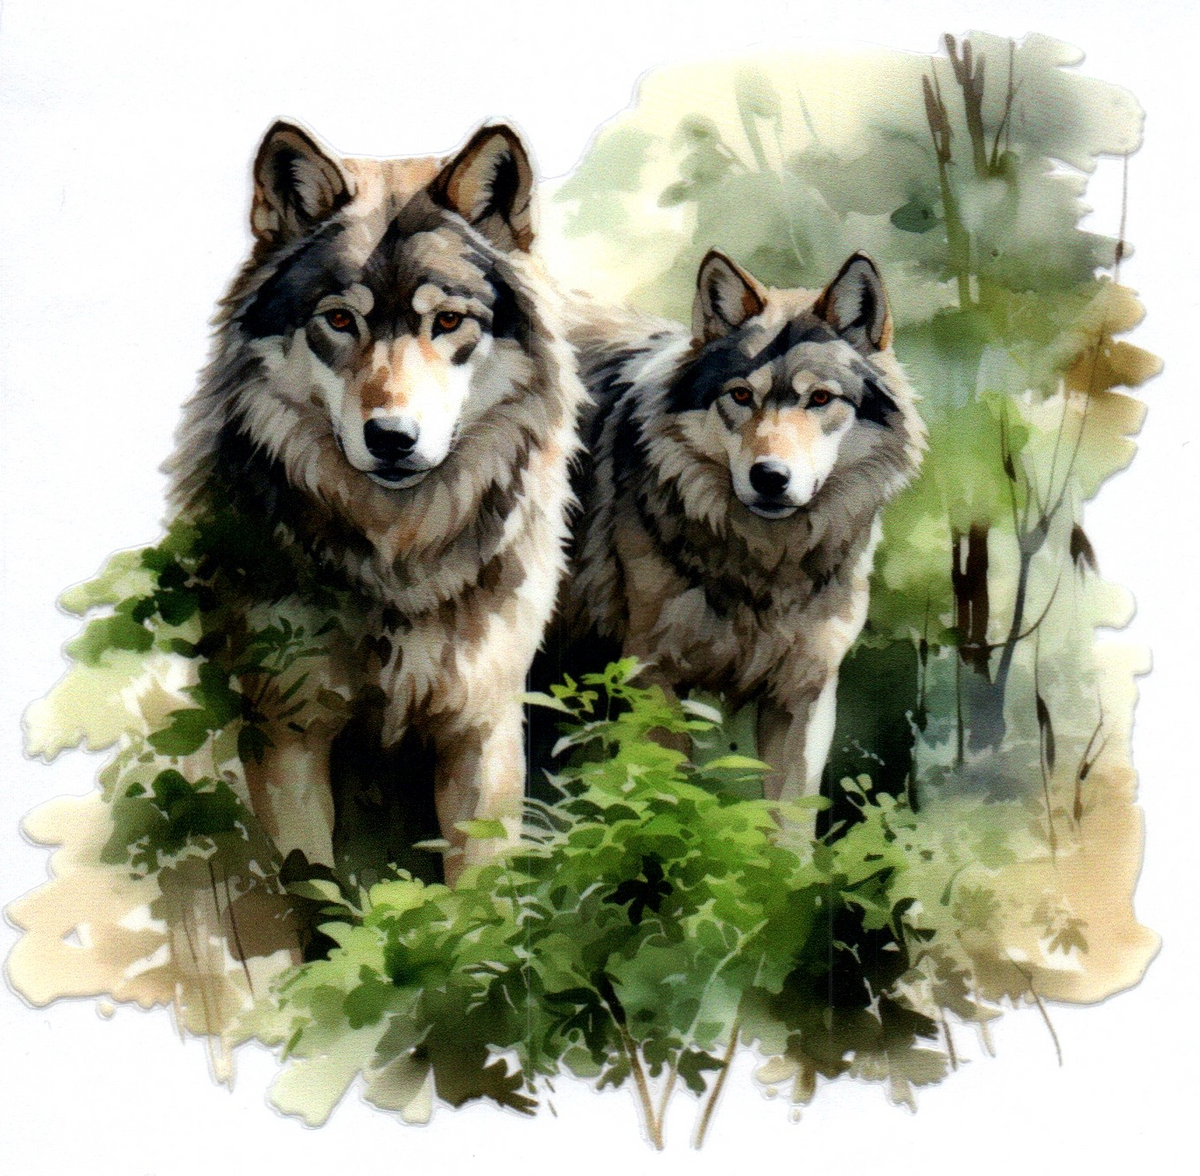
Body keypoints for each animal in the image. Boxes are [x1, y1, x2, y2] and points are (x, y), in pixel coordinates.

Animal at [167, 120, 582, 883]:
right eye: (338, 319)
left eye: (447, 321)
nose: (390, 437)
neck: (398, 558)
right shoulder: (287, 734)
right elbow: (316, 895)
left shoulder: (482, 728)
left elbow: (478, 899)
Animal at [561, 250, 924, 802]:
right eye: (740, 395)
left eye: (820, 399)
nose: (770, 476)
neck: (764, 565)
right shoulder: (652, 676)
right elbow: (669, 802)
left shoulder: (803, 695)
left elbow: (789, 819)